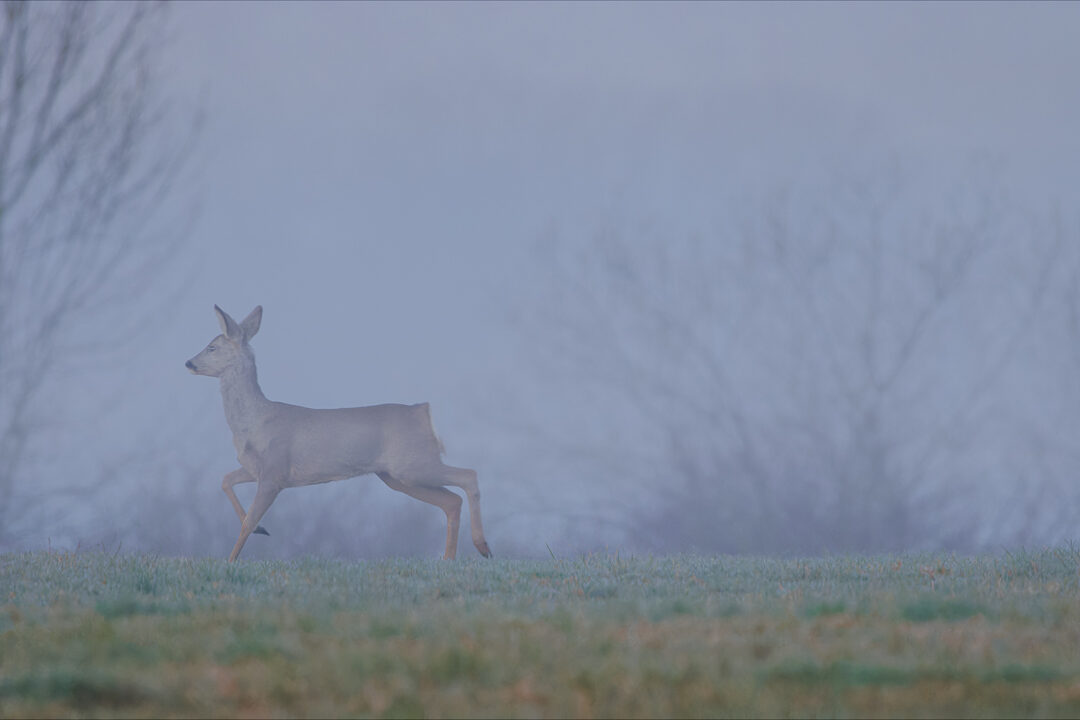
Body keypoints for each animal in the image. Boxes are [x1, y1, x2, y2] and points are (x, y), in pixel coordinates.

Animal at [185, 305, 491, 562]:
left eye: (212, 347)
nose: (188, 363)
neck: (254, 421)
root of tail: (423, 413)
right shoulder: (256, 469)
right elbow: (226, 480)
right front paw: (262, 529)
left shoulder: (274, 472)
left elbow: (247, 520)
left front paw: (231, 560)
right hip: (396, 476)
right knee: (451, 501)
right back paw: (449, 559)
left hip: (413, 464)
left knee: (469, 476)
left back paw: (482, 547)